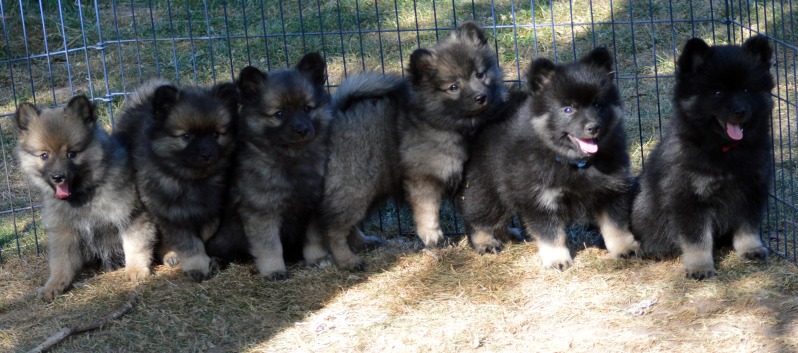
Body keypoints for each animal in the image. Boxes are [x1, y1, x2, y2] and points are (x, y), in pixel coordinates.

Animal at [14, 95, 156, 298]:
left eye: (71, 153)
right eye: (44, 155)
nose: (58, 177)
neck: (83, 195)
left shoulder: (131, 216)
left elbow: (135, 245)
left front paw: (136, 270)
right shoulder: (64, 231)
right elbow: (60, 263)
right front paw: (53, 286)